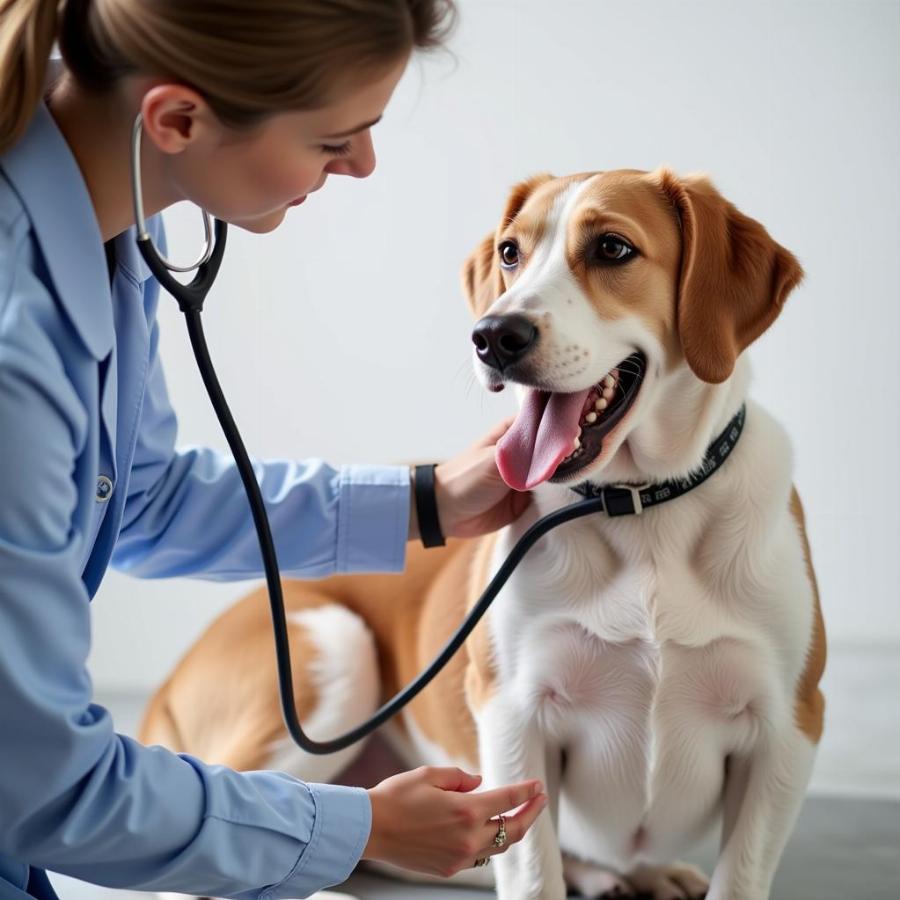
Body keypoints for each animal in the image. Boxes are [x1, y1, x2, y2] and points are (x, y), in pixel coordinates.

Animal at [139, 169, 824, 900]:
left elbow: (739, 873)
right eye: (510, 253)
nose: (494, 334)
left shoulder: (787, 729)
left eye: (613, 248)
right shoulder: (514, 714)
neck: (640, 509)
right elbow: (531, 872)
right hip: (335, 648)